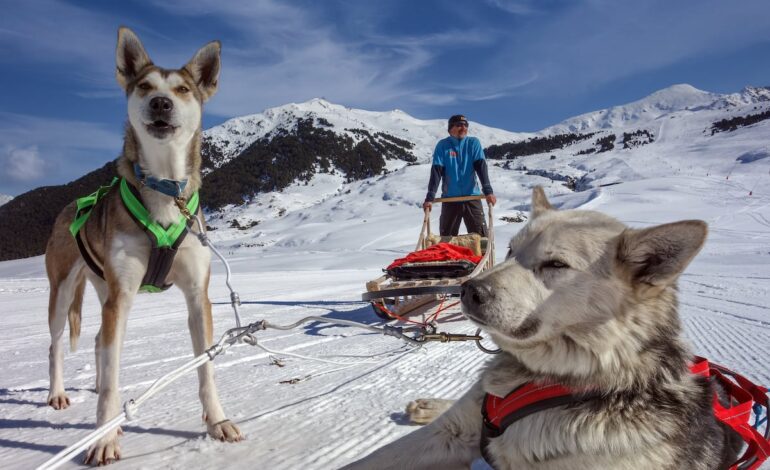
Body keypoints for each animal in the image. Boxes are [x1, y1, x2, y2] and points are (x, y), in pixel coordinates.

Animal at [44, 27, 240, 464]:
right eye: (144, 86)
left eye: (182, 89)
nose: (161, 102)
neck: (165, 190)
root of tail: (69, 204)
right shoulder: (122, 297)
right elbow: (112, 383)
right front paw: (103, 439)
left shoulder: (196, 296)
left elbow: (205, 368)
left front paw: (218, 421)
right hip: (64, 292)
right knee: (58, 345)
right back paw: (59, 393)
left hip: (104, 288)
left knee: (100, 343)